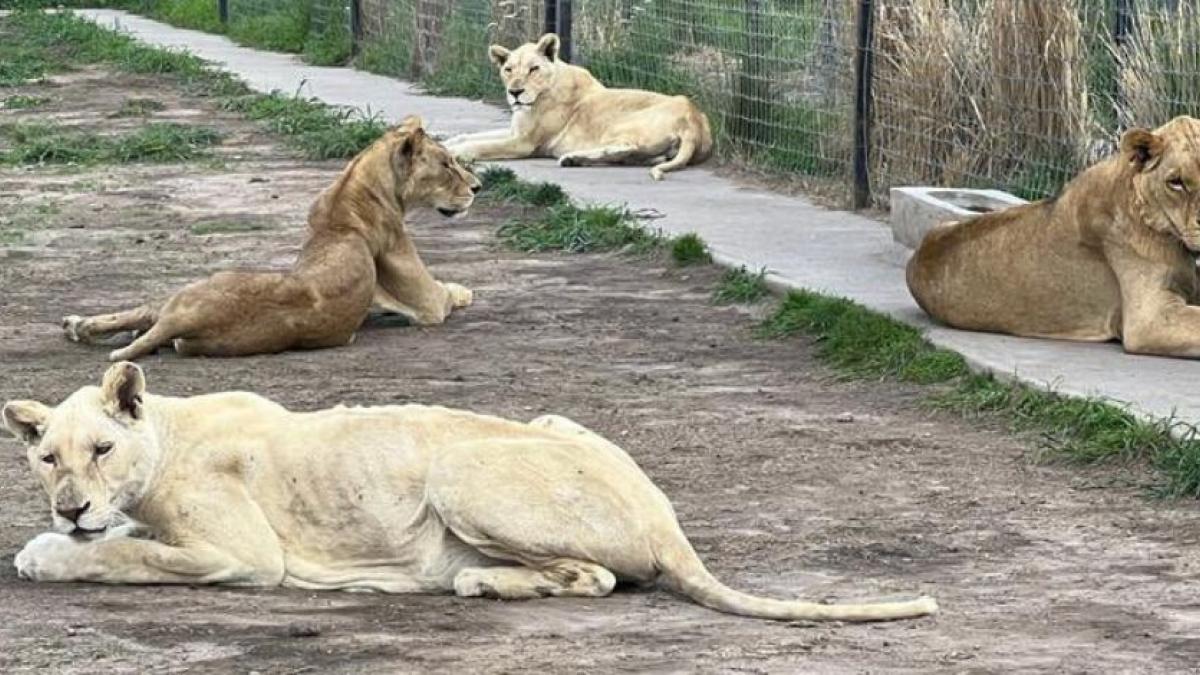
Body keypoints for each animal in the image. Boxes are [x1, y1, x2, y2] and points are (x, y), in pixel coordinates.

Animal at [2, 362, 936, 619]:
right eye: (46, 456)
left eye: (101, 448)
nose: (70, 505)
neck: (165, 434)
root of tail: (667, 520)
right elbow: (125, 543)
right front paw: (73, 533)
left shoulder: (245, 554)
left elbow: (123, 558)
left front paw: (47, 550)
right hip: (553, 418)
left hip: (455, 470)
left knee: (597, 576)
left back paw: (476, 580)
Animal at [57, 115, 477, 360]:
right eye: (446, 164)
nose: (478, 186)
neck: (350, 192)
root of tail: (184, 320)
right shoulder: (427, 303)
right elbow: (450, 291)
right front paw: (464, 290)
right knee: (146, 312)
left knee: (145, 316)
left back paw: (82, 326)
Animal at [444, 33, 710, 181]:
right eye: (508, 69)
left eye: (533, 69)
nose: (515, 93)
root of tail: (694, 120)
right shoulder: (514, 131)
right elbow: (467, 135)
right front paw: (445, 144)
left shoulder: (524, 142)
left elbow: (481, 145)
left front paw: (455, 153)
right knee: (635, 156)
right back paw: (574, 159)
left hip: (621, 125)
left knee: (627, 147)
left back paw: (570, 157)